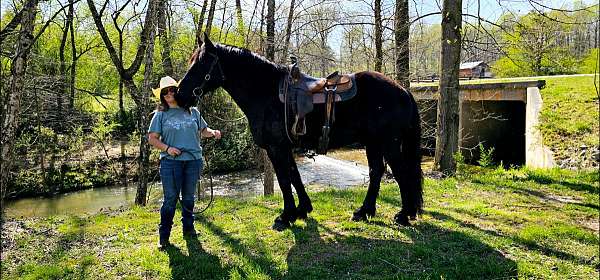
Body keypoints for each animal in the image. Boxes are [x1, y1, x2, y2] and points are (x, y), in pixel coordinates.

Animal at [177, 35, 422, 231]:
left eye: (200, 65)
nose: (179, 95)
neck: (265, 93)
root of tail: (403, 90)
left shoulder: (276, 148)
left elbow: (284, 180)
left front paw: (286, 216)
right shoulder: (285, 147)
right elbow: (295, 176)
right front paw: (303, 210)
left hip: (389, 143)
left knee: (401, 173)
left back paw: (403, 215)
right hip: (373, 143)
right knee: (376, 172)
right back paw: (364, 212)